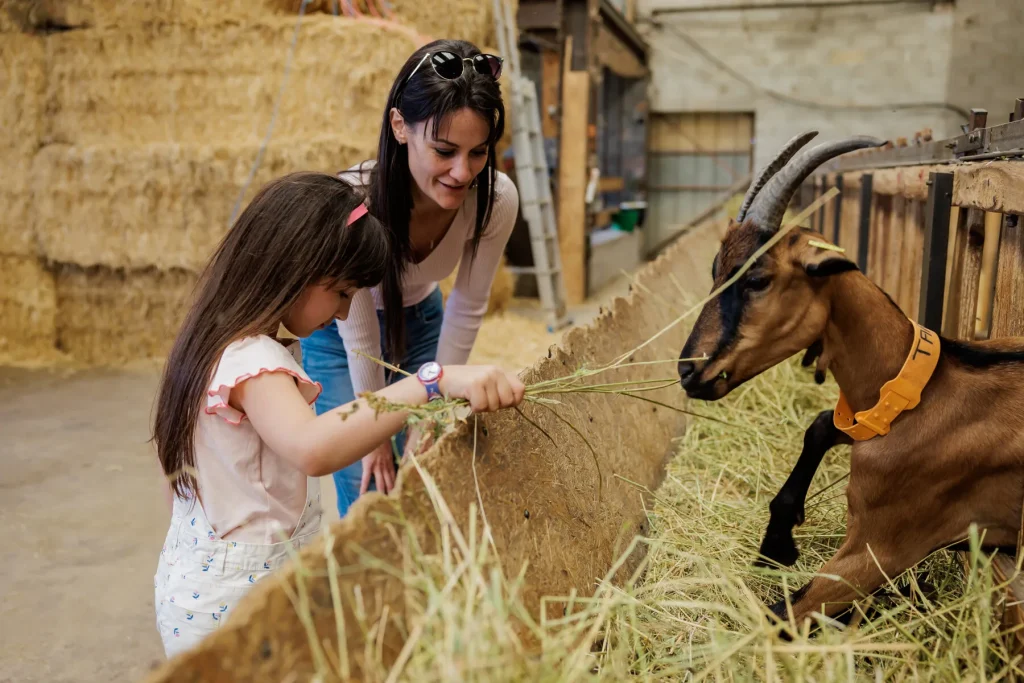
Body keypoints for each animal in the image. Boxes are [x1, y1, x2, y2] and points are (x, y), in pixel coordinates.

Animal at [679, 133, 1024, 630]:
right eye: (715, 270)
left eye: (758, 279)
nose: (689, 370)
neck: (921, 391)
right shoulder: (863, 419)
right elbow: (823, 423)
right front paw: (776, 544)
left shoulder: (878, 549)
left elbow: (781, 615)